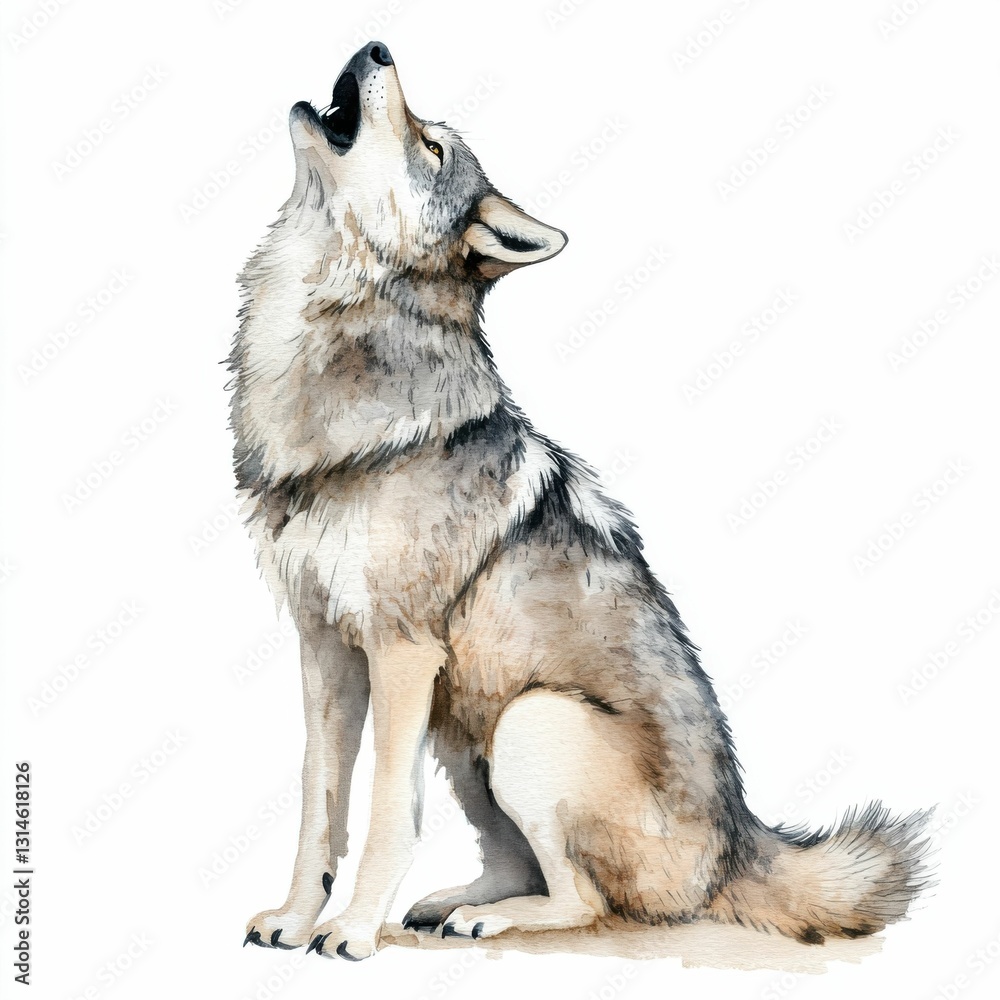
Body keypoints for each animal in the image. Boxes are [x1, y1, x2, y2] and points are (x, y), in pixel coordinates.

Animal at [230, 41, 930, 961]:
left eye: (432, 147)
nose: (377, 47)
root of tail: (741, 846)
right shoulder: (324, 649)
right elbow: (320, 802)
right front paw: (293, 917)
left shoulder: (401, 651)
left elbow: (384, 811)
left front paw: (348, 931)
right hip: (468, 730)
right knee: (517, 864)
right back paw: (447, 904)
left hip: (527, 719)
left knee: (584, 900)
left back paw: (482, 918)